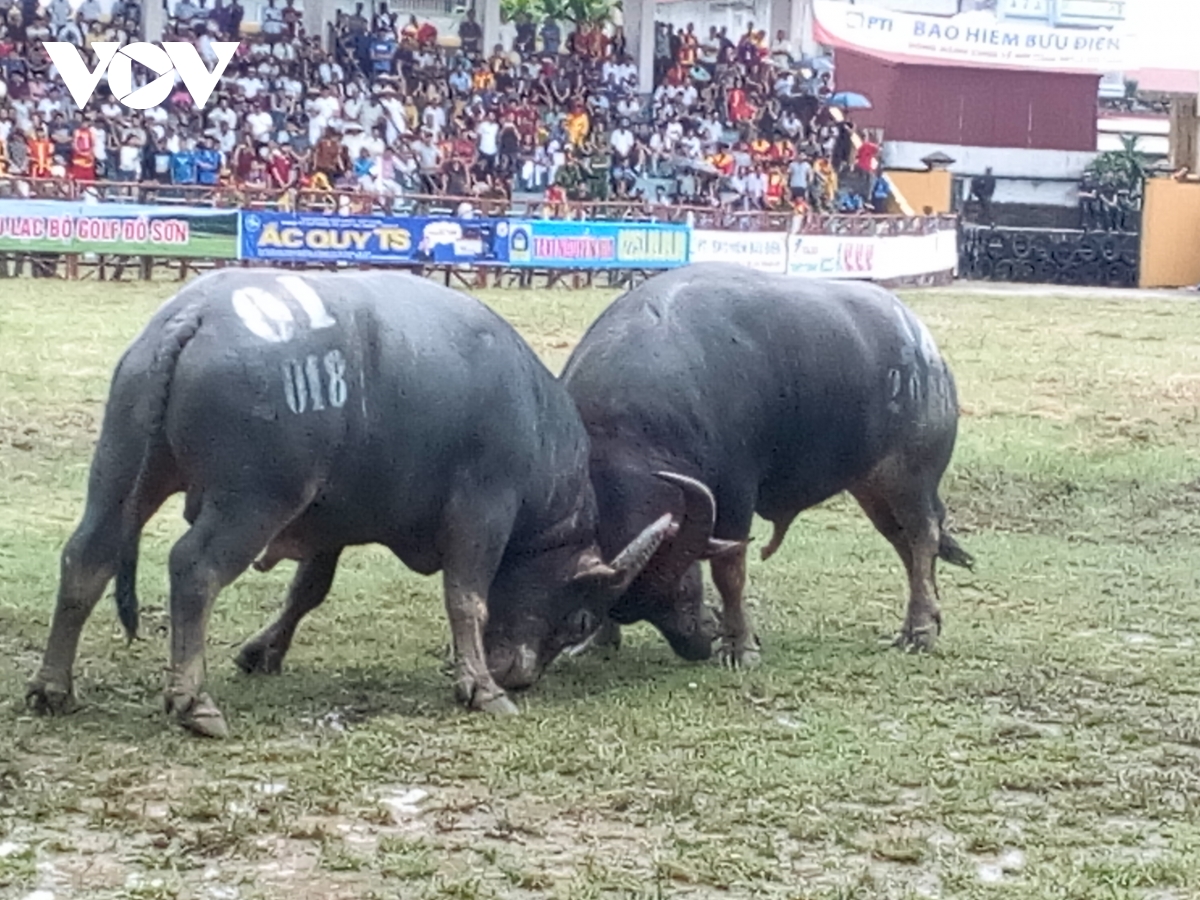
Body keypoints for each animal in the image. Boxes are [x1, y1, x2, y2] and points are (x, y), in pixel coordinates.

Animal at [25, 271, 720, 734]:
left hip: (120, 469)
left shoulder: (331, 522)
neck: (530, 422)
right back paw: (193, 702)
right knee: (193, 569)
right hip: (252, 499)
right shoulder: (482, 510)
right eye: (579, 620)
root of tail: (193, 316)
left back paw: (53, 687)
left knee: (86, 557)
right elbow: (467, 596)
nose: (519, 674)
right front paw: (481, 688)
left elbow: (308, 589)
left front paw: (262, 650)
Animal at [561, 264, 974, 667]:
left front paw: (740, 647)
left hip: (910, 477)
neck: (628, 430)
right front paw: (597, 641)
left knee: (923, 537)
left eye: (683, 581)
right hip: (870, 486)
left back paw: (920, 632)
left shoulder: (736, 494)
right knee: (904, 544)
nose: (696, 643)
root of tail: (928, 349)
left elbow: (729, 572)